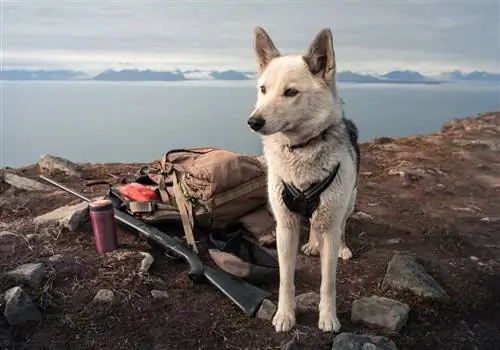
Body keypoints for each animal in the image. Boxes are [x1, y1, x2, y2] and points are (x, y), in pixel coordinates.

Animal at [246, 26, 360, 332]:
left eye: (291, 92)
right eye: (263, 89)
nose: (253, 122)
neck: (300, 149)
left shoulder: (330, 220)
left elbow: (328, 283)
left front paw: (328, 317)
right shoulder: (285, 226)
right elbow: (286, 278)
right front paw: (285, 314)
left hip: (348, 203)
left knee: (341, 227)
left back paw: (342, 246)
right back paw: (312, 243)